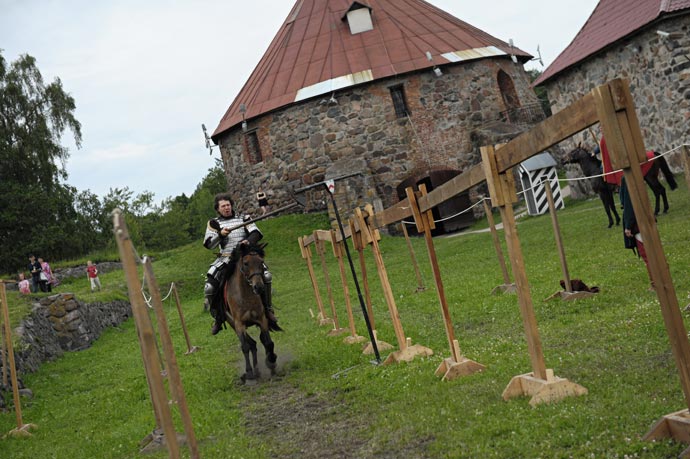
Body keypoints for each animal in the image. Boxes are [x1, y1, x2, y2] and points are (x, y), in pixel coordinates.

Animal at [224, 243, 280, 382]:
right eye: (245, 263)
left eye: (261, 262)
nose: (258, 287)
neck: (245, 297)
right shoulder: (239, 324)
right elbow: (245, 347)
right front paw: (249, 372)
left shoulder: (262, 320)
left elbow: (268, 343)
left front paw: (271, 362)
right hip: (233, 325)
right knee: (251, 344)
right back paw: (253, 371)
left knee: (257, 343)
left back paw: (258, 369)